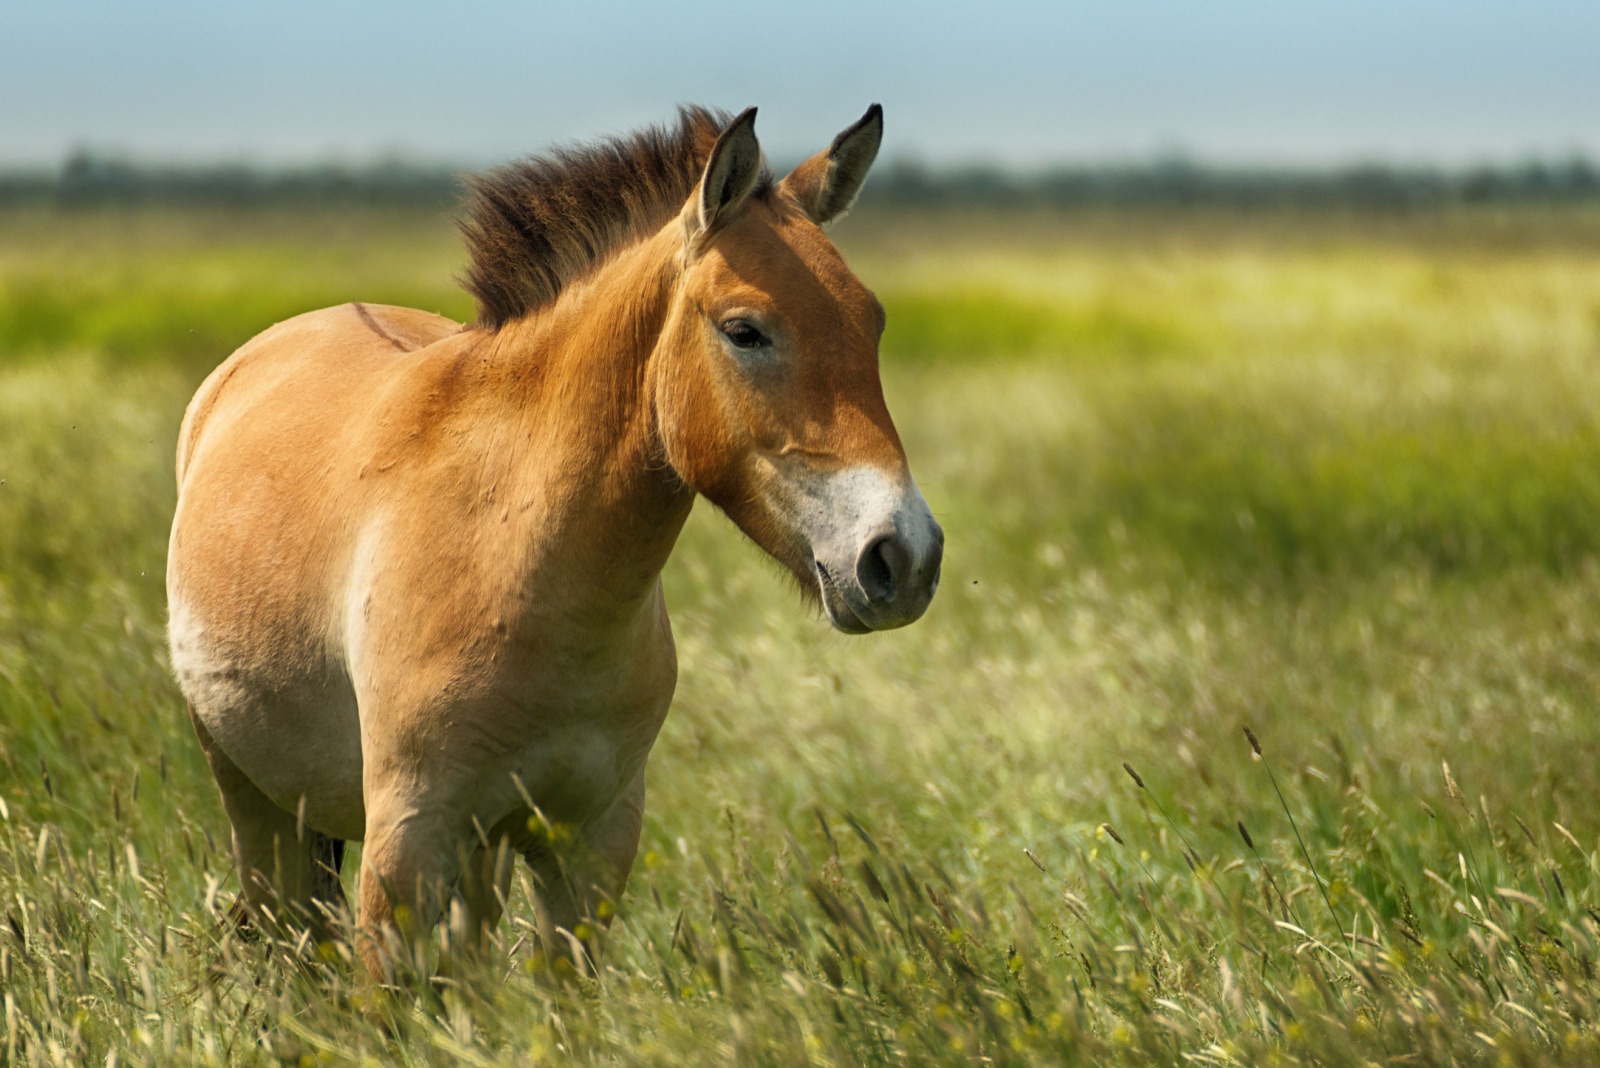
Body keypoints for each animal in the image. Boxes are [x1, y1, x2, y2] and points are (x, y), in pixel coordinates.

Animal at [165, 103, 934, 978]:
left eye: (872, 322)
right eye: (746, 331)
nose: (903, 557)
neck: (516, 558)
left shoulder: (588, 846)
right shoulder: (404, 848)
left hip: (474, 857)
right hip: (257, 806)